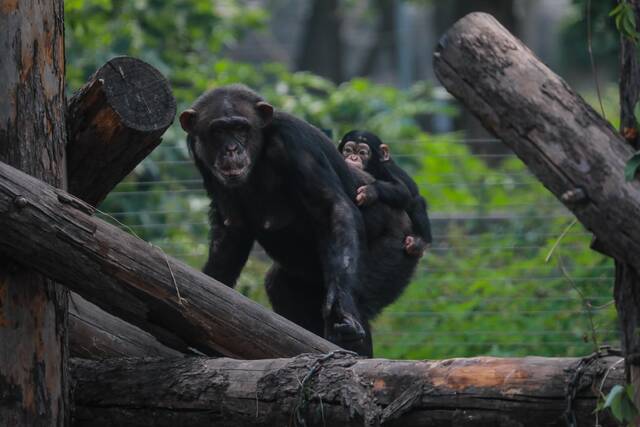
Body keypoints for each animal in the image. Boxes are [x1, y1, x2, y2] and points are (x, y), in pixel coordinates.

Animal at [338, 130, 432, 258]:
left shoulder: (385, 170)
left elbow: (402, 191)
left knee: (417, 201)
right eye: (348, 150)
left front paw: (369, 191)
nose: (353, 157)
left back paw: (419, 242)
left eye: (362, 153)